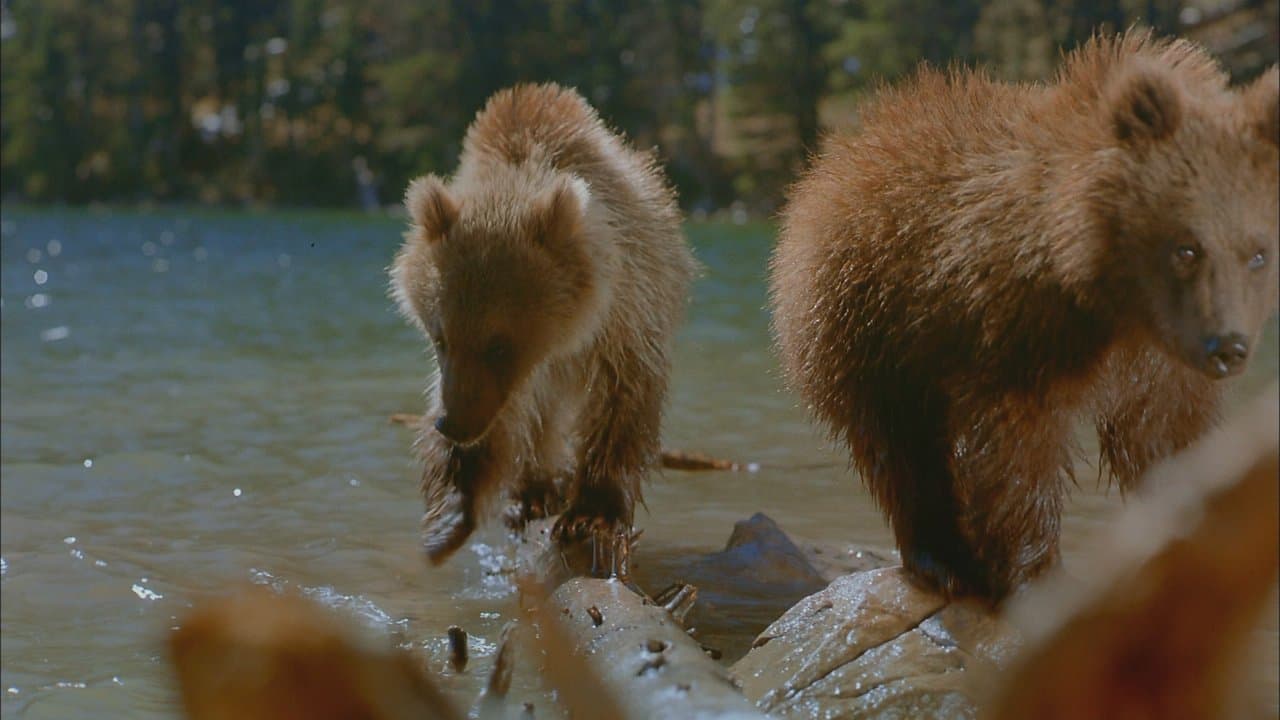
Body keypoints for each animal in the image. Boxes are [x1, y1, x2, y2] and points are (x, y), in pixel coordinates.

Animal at [390, 83, 697, 567]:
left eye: (499, 345)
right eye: (440, 338)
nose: (453, 424)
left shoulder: (626, 314)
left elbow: (622, 399)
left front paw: (591, 514)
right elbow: (502, 418)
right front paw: (449, 515)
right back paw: (533, 494)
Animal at [769, 31, 1279, 602]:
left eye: (1258, 253)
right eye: (1186, 248)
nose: (1227, 346)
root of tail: (840, 152)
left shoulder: (1160, 365)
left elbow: (1168, 434)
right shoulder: (1012, 330)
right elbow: (1015, 456)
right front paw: (1035, 574)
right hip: (861, 317)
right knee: (899, 446)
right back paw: (942, 559)